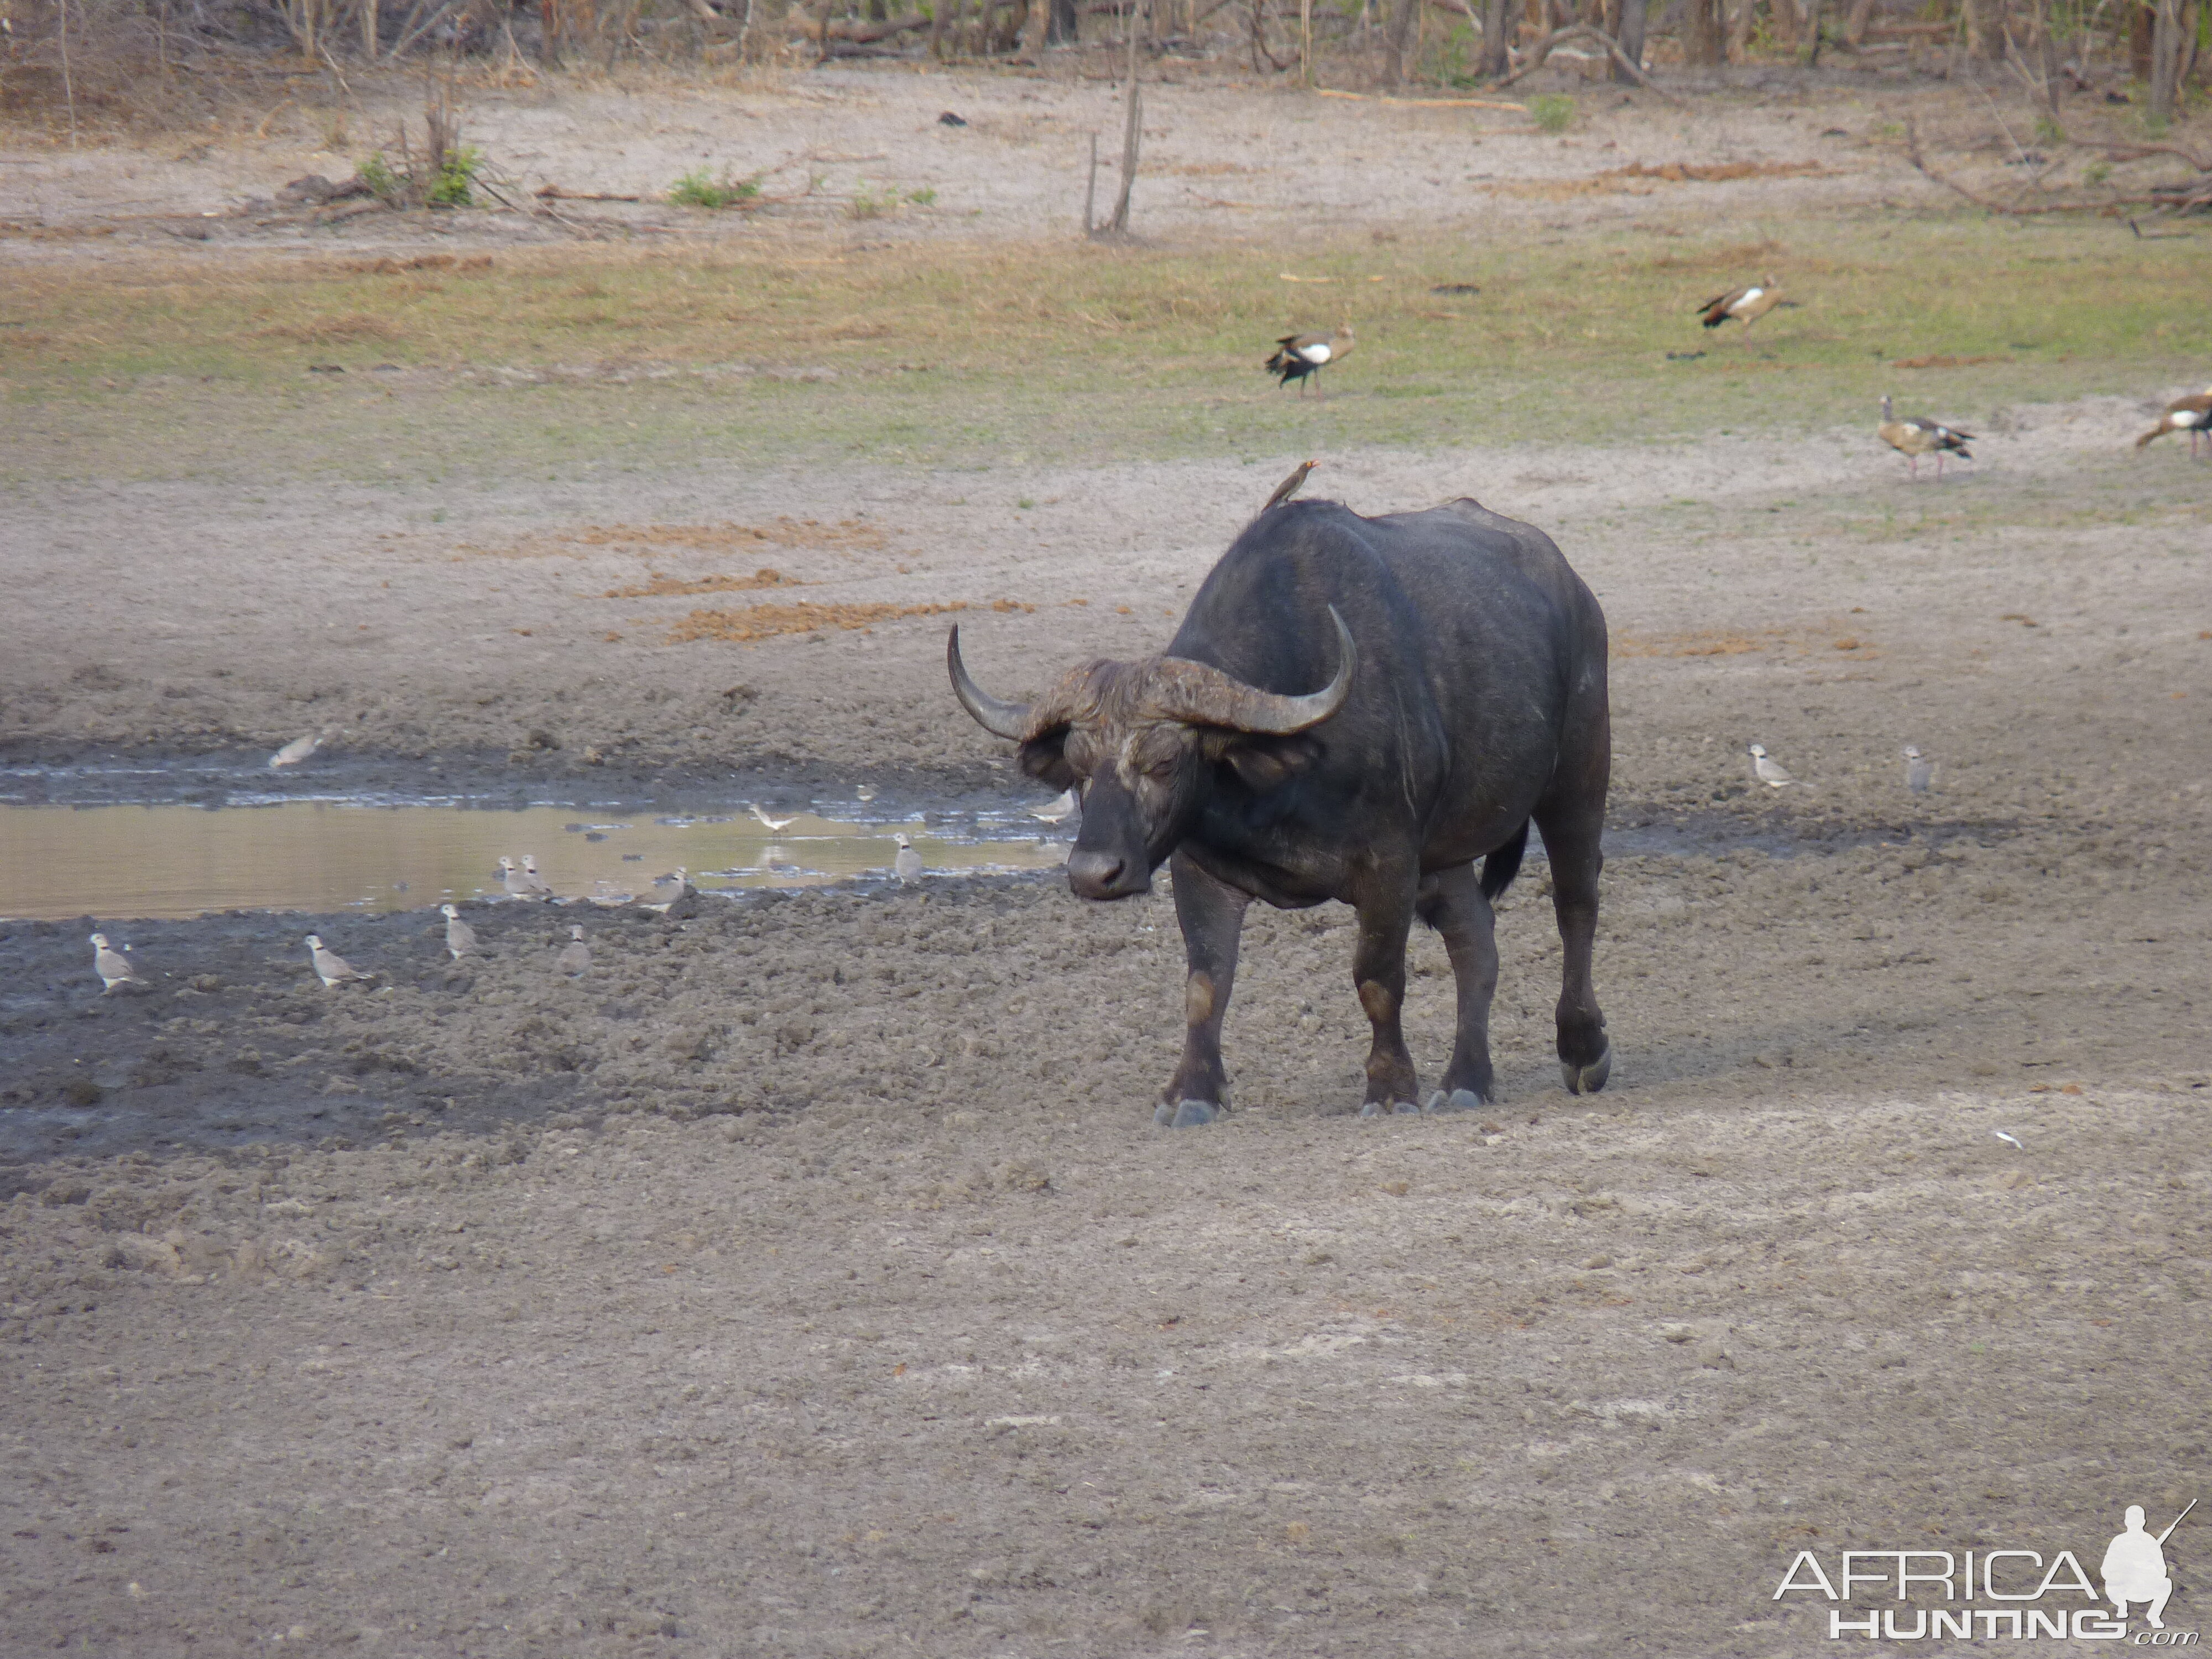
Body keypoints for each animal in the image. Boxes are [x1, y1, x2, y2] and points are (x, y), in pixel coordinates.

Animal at [947, 498, 1610, 1133]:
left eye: (1165, 760)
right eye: (1080, 766)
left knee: (1575, 904)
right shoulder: (1198, 869)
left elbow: (1377, 979)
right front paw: (1191, 1094)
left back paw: (1583, 1049)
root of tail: (1575, 591)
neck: (1278, 783)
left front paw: (1390, 1090)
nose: (1092, 873)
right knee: (1475, 936)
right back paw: (1466, 1080)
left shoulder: (1390, 865)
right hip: (1444, 854)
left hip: (1577, 780)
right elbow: (1205, 983)